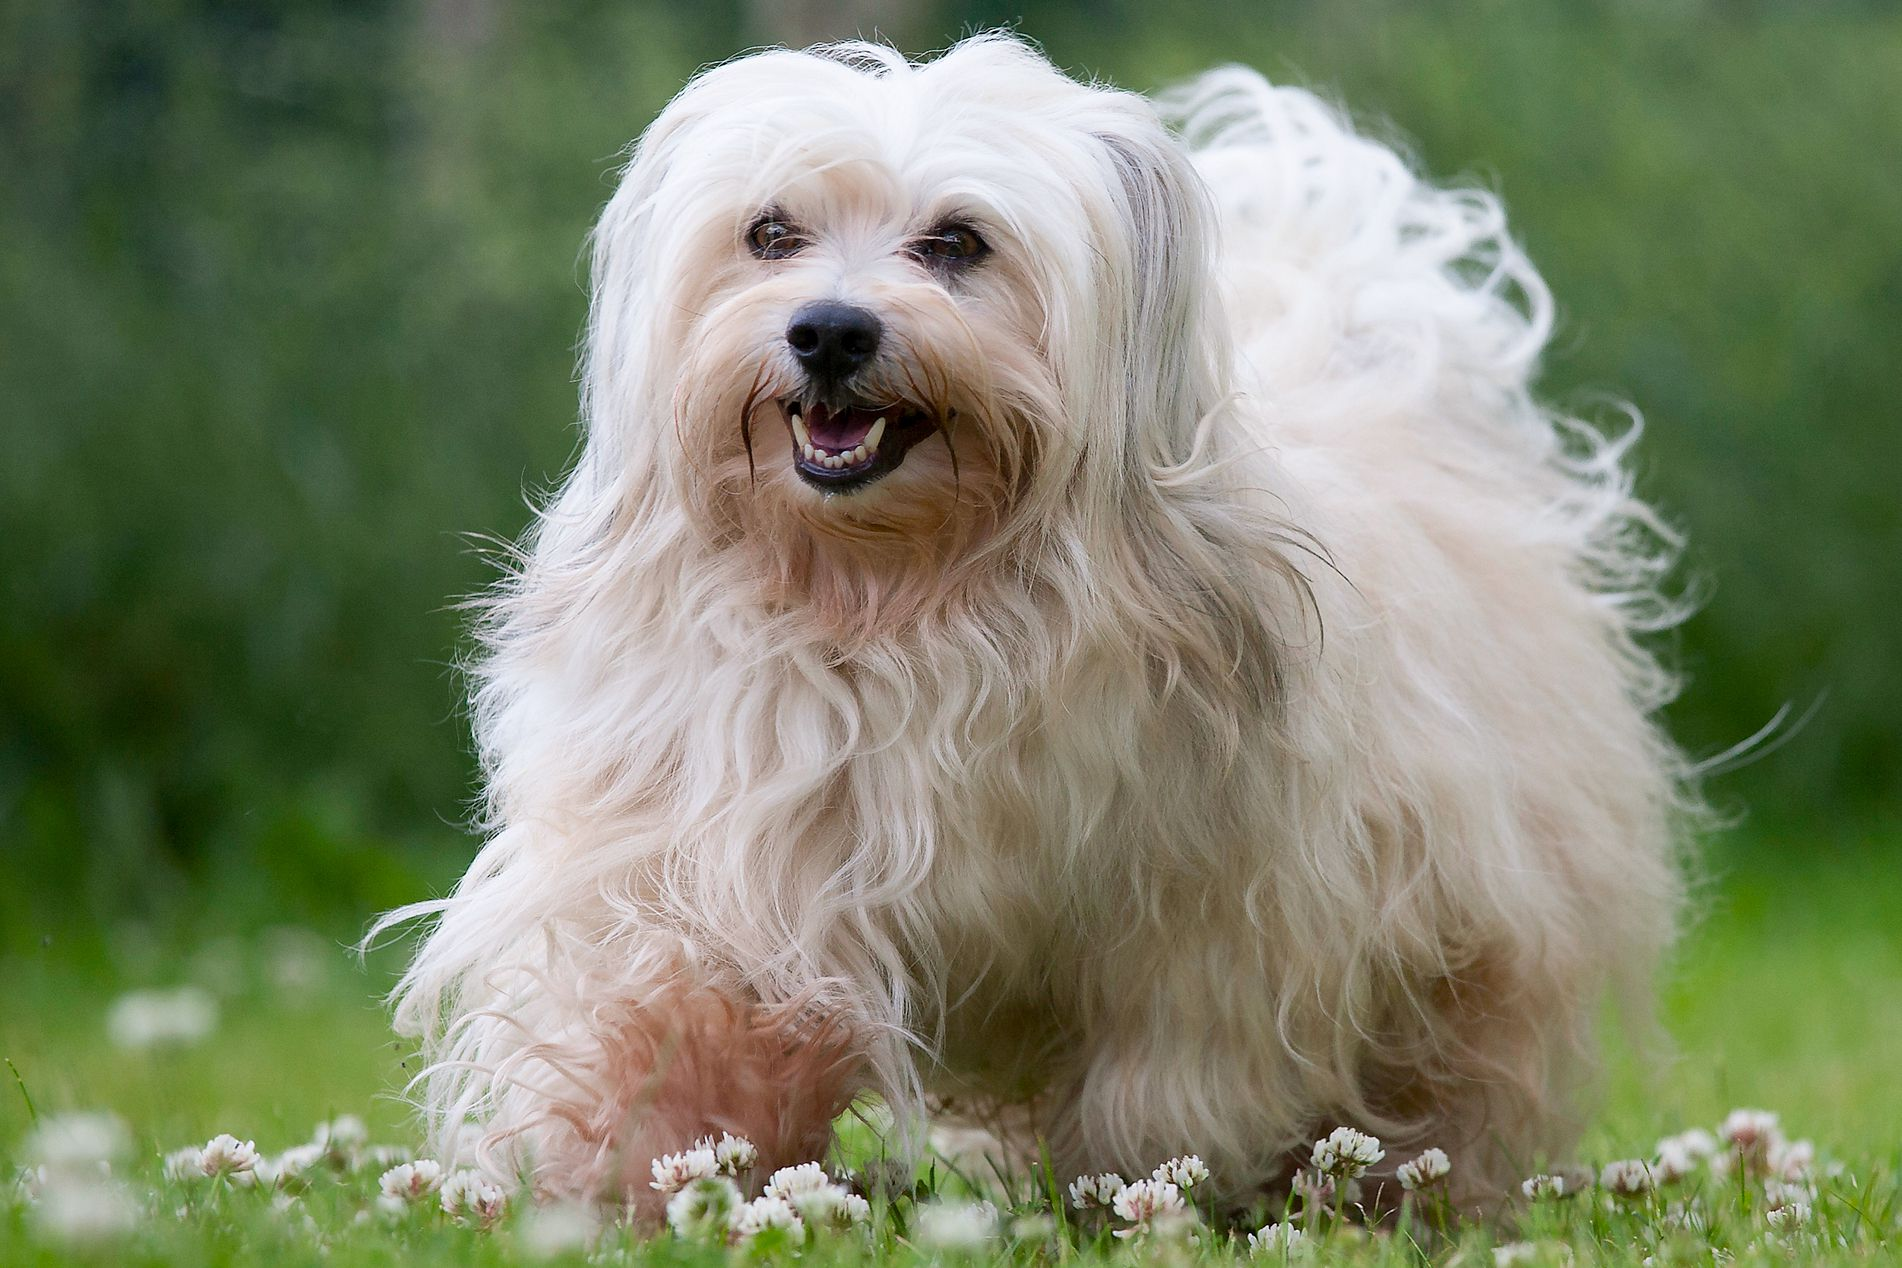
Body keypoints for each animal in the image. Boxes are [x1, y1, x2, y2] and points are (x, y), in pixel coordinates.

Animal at [378, 34, 1688, 1216]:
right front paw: (629, 1162)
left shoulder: (1217, 908)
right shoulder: (724, 829)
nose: (829, 330)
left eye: (959, 242)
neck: (897, 594)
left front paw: (1146, 1185)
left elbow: (1173, 1073)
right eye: (770, 233)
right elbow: (680, 997)